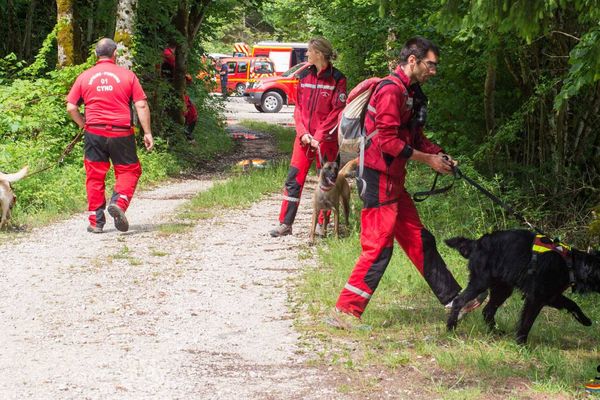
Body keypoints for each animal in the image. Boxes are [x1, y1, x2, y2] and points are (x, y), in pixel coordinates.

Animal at [446, 230, 600, 346]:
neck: (570, 264)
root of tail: (476, 243)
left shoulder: (551, 296)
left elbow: (572, 304)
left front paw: (585, 320)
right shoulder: (535, 298)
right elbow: (526, 323)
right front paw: (521, 344)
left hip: (503, 289)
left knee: (487, 310)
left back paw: (495, 332)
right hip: (481, 283)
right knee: (459, 301)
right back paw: (450, 328)